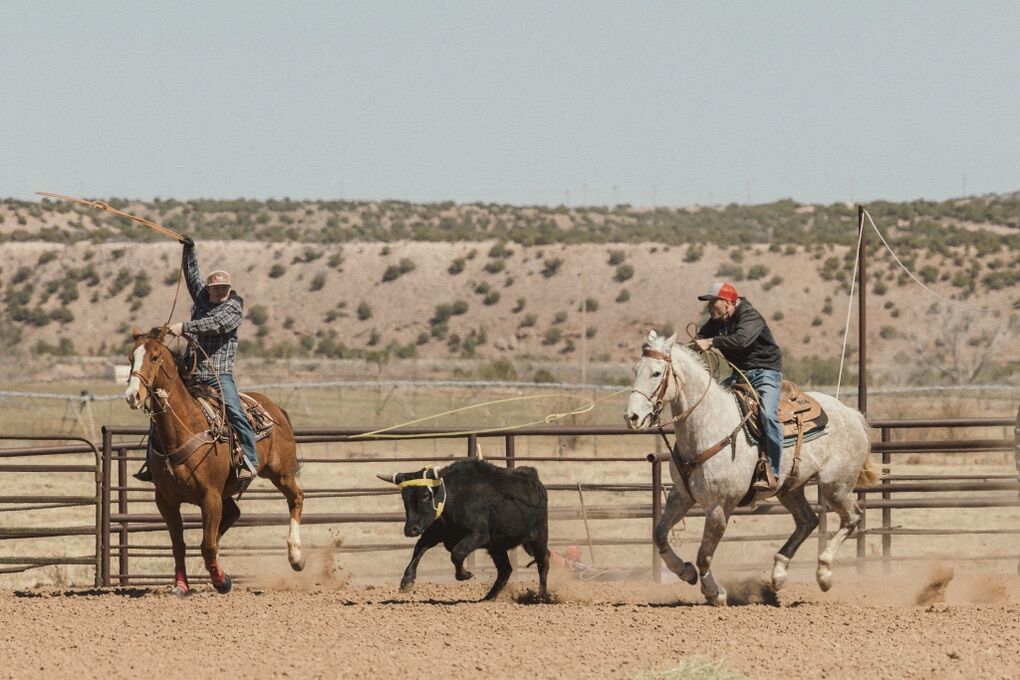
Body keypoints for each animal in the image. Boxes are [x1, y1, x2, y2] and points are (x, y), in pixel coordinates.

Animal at [124, 327, 305, 595]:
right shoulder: (166, 500)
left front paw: (222, 581)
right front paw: (181, 586)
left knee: (296, 498)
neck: (183, 428)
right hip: (228, 490)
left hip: (279, 473)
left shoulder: (209, 496)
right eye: (130, 358)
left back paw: (296, 557)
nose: (132, 395)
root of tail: (276, 409)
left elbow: (207, 544)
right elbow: (180, 545)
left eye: (155, 357)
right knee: (233, 514)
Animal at [625, 330, 878, 605]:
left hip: (836, 485)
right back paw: (778, 574)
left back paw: (824, 573)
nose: (632, 417)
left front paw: (715, 593)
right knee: (807, 520)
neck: (708, 427)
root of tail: (854, 415)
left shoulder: (720, 505)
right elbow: (660, 534)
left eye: (656, 373)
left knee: (852, 517)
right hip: (790, 488)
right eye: (635, 369)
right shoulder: (681, 495)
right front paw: (684, 571)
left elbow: (704, 555)